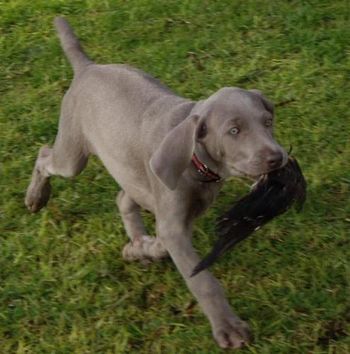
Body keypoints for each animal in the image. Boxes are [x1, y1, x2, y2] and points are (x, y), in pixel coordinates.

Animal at [24, 17, 288, 348]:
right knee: (44, 156)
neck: (197, 164)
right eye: (234, 131)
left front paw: (141, 248)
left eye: (268, 122)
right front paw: (229, 329)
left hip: (128, 170)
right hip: (72, 156)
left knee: (123, 199)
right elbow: (202, 280)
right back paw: (36, 197)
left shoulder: (179, 216)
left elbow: (163, 243)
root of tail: (88, 67)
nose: (276, 158)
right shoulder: (173, 220)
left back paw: (137, 243)